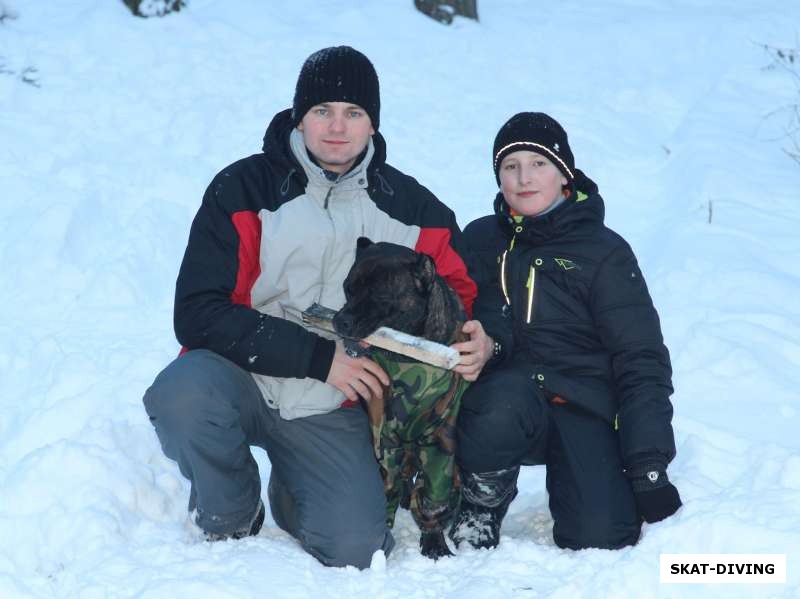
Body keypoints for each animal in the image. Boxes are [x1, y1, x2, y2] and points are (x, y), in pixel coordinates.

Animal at [332, 237, 468, 560]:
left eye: (380, 294)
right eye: (348, 288)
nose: (339, 320)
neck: (411, 353)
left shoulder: (439, 438)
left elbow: (433, 498)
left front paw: (434, 543)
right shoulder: (383, 437)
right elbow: (386, 485)